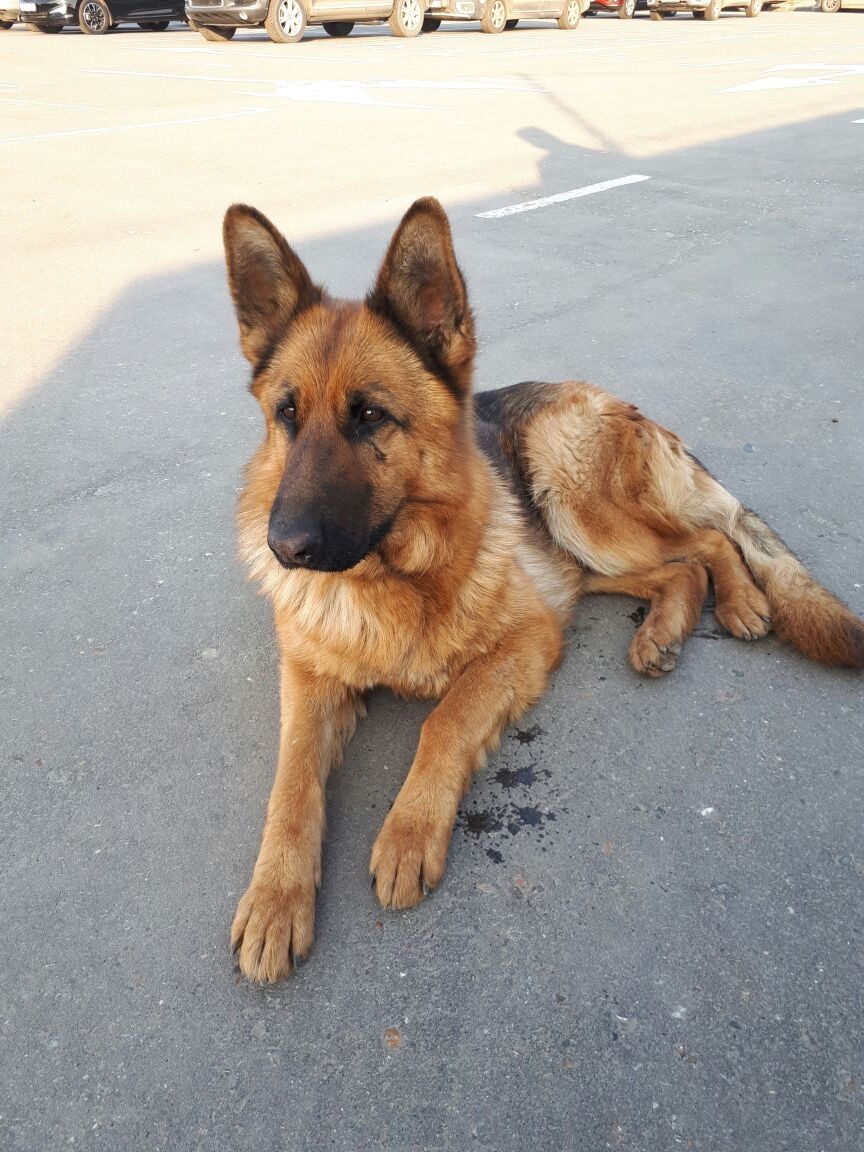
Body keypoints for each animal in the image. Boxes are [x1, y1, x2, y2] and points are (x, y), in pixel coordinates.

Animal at [222, 197, 864, 983]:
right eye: (287, 413)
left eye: (370, 415)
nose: (284, 549)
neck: (394, 576)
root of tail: (616, 399)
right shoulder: (309, 679)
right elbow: (290, 782)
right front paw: (275, 897)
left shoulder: (526, 640)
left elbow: (445, 719)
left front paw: (407, 831)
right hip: (576, 549)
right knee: (679, 566)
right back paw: (661, 632)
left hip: (569, 492)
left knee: (709, 540)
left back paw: (740, 603)